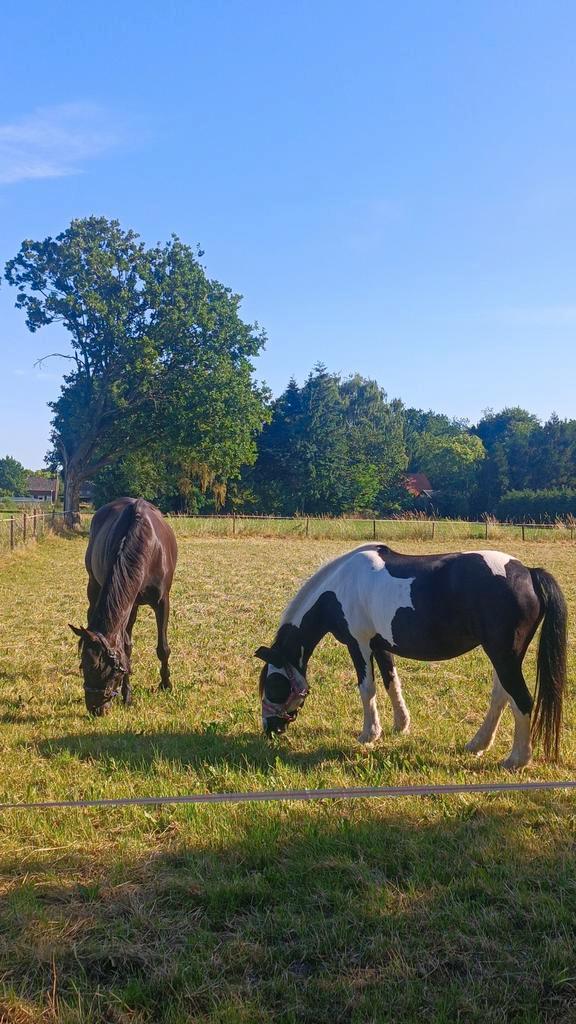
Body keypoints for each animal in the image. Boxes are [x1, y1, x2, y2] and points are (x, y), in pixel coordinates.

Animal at [69, 497, 178, 716]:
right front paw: (128, 695)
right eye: (83, 666)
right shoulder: (130, 602)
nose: (95, 709)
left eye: (106, 670)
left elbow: (163, 648)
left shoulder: (162, 601)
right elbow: (126, 648)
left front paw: (166, 684)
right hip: (94, 584)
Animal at [255, 543, 568, 768]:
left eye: (273, 685)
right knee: (501, 697)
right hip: (504, 657)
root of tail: (528, 573)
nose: (270, 730)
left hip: (503, 656)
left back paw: (517, 760)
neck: (340, 586)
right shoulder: (380, 646)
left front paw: (369, 735)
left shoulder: (360, 644)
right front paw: (400, 725)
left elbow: (367, 688)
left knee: (521, 700)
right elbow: (391, 682)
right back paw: (478, 745)